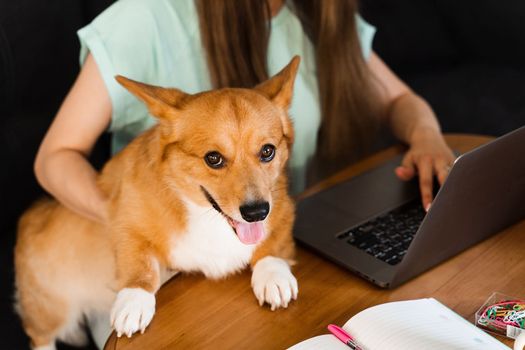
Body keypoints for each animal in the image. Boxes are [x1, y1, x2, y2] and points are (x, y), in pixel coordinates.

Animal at [15, 56, 298, 348]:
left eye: (267, 151)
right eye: (213, 158)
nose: (256, 213)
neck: (203, 214)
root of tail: (31, 215)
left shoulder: (283, 209)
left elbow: (273, 245)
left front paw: (273, 274)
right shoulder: (126, 220)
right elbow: (140, 262)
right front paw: (134, 300)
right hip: (52, 310)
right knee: (39, 335)